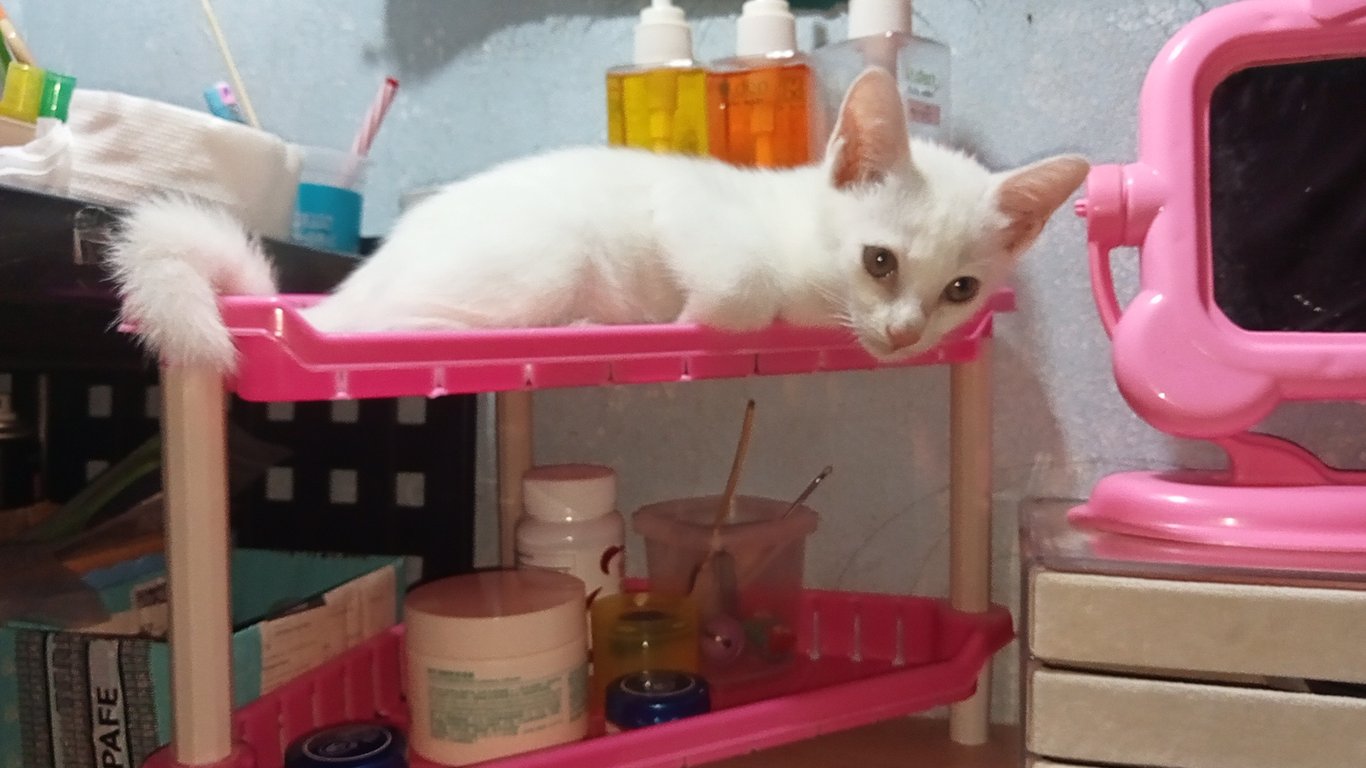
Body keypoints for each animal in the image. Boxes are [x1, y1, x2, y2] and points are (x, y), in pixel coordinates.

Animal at [107, 67, 1088, 372]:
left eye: (961, 290)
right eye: (880, 261)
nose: (905, 331)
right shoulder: (686, 201)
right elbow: (738, 290)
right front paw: (696, 316)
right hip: (541, 255)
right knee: (391, 328)